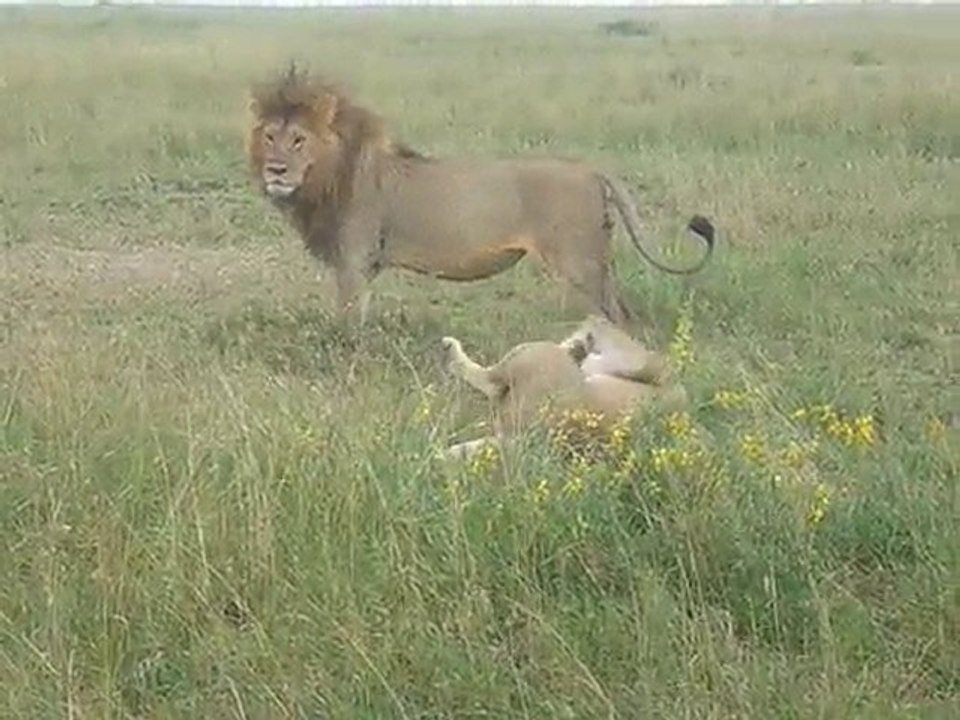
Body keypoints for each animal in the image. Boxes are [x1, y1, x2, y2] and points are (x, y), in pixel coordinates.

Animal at [246, 65, 716, 326]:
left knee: (616, 317)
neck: (329, 175)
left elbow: (347, 325)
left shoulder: (354, 263)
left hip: (579, 262)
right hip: (599, 262)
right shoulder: (365, 267)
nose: (275, 170)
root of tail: (589, 169)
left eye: (299, 140)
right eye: (269, 137)